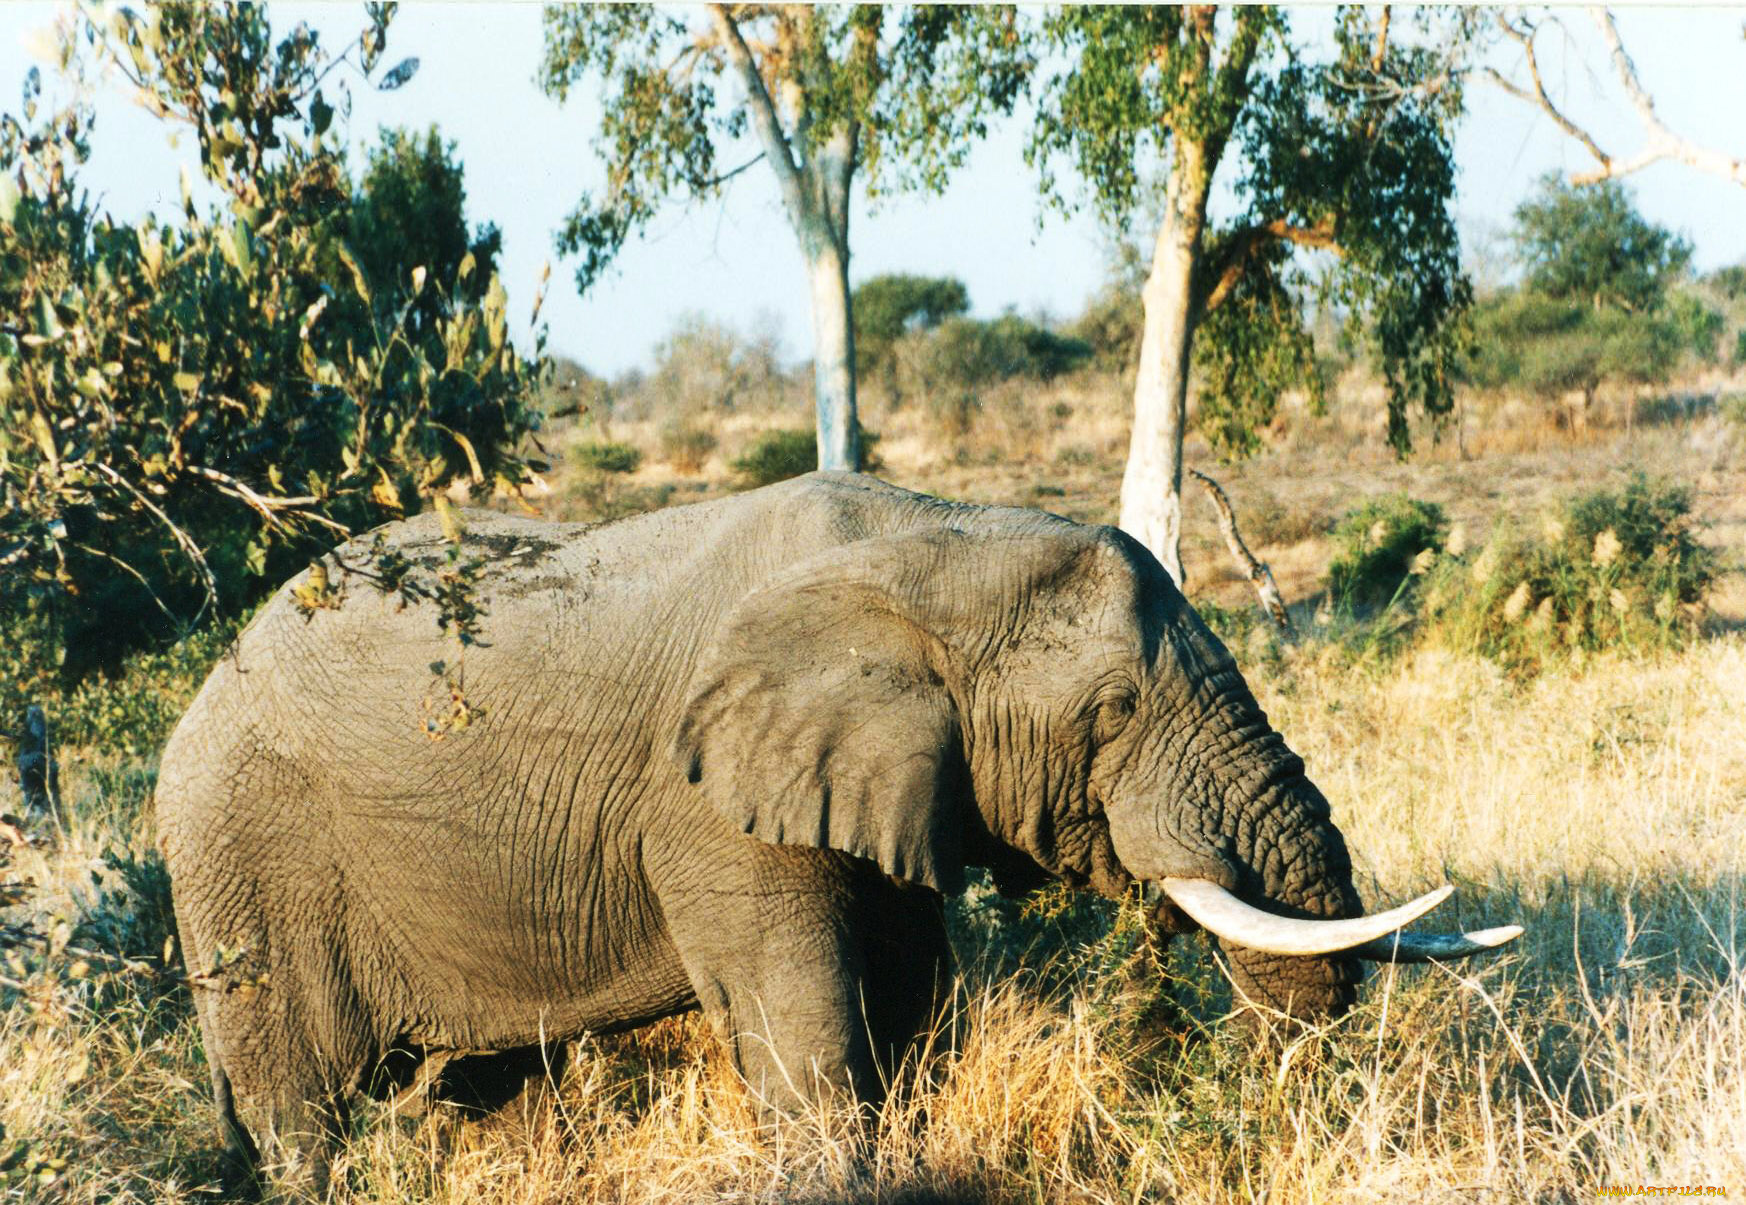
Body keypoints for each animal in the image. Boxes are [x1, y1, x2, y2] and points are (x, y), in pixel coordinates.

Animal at [155, 471, 1518, 1190]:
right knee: (304, 1119)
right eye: (1114, 712)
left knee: (495, 1090)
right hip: (245, 860)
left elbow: (914, 999)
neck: (930, 544)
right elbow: (803, 1014)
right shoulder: (708, 803)